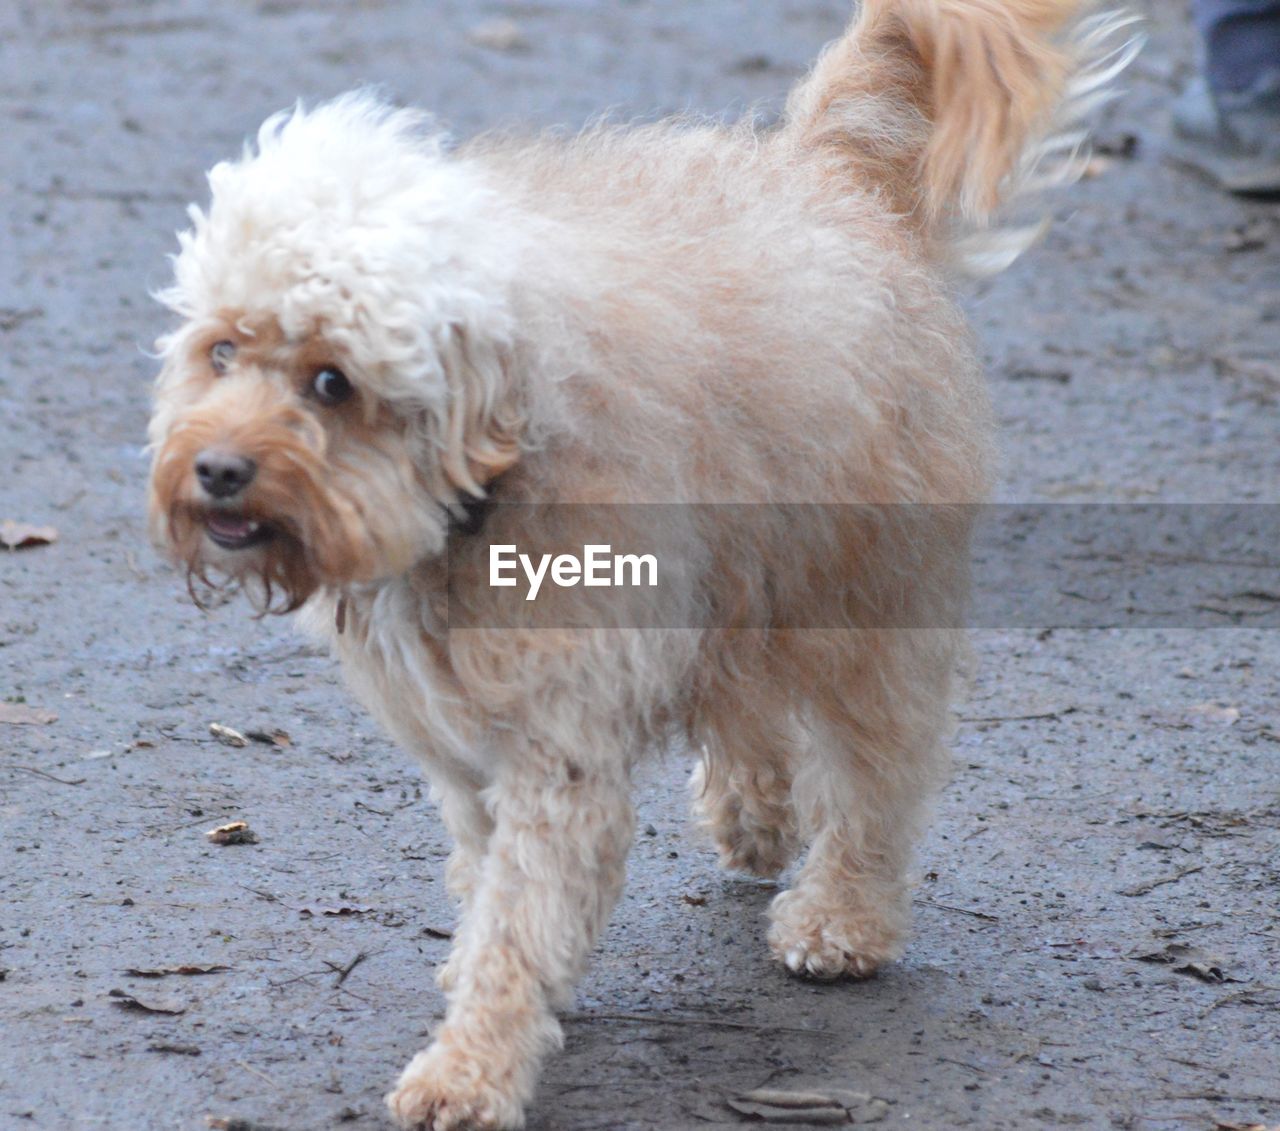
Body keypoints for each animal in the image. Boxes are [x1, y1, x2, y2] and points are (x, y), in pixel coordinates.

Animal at [145, 4, 1136, 1125]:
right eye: (223, 351)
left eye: (331, 381)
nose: (218, 471)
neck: (485, 485)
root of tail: (823, 173)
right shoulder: (472, 755)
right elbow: (491, 882)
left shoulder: (557, 753)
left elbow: (519, 918)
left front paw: (469, 1067)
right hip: (742, 565)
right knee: (751, 703)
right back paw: (752, 816)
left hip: (857, 600)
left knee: (878, 770)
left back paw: (841, 917)